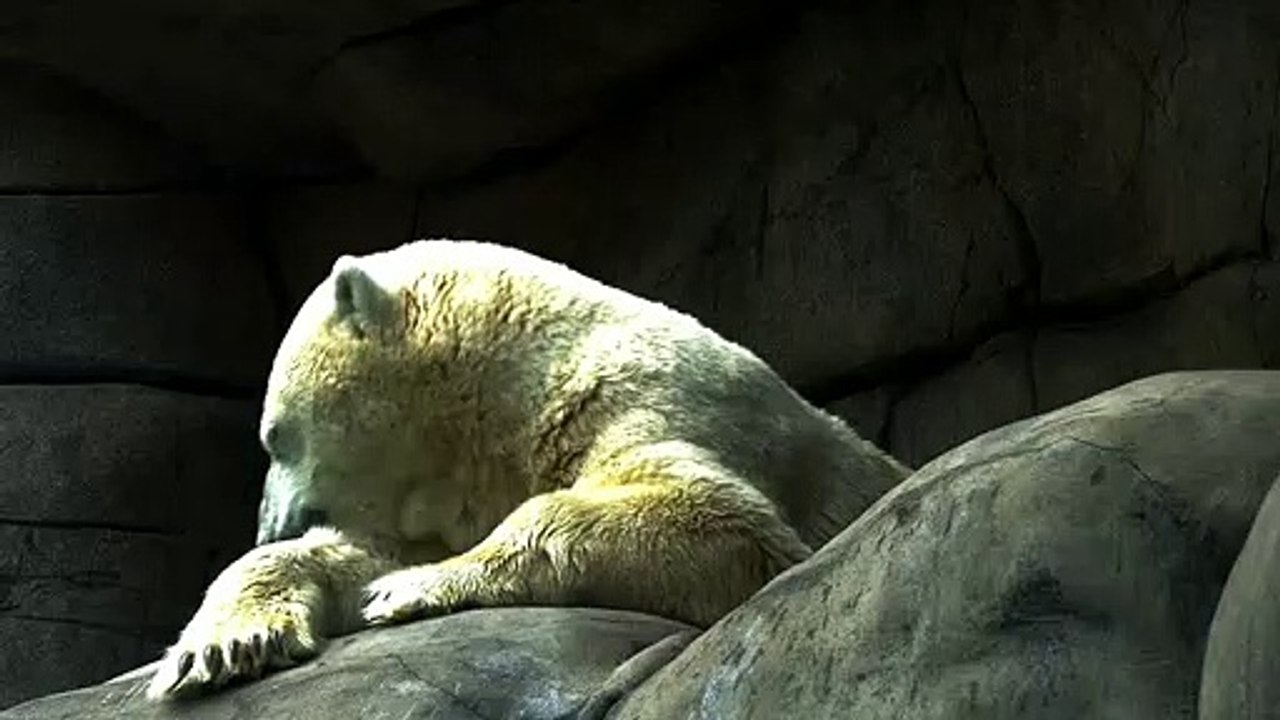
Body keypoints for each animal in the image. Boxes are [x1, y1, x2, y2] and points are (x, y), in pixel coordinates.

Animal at [146, 239, 910, 699]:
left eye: (274, 436)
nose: (268, 526)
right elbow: (361, 553)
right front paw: (222, 647)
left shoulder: (650, 398)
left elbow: (725, 524)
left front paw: (407, 590)